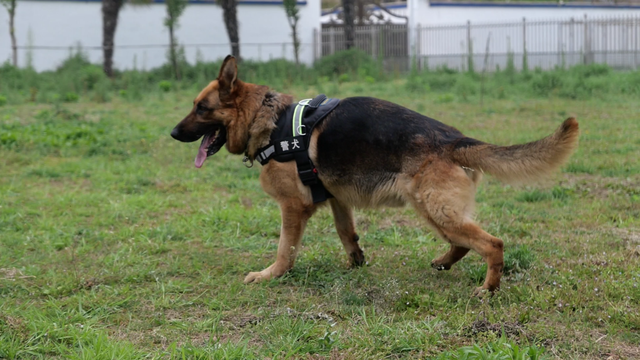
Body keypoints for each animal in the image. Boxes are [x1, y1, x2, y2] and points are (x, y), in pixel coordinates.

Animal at [170, 56, 580, 296]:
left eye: (201, 108)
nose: (172, 133)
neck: (267, 118)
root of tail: (454, 139)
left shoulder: (293, 207)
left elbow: (286, 248)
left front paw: (271, 275)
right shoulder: (336, 199)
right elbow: (346, 233)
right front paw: (356, 263)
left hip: (435, 208)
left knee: (492, 243)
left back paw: (489, 288)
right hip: (435, 210)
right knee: (464, 242)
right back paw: (444, 263)